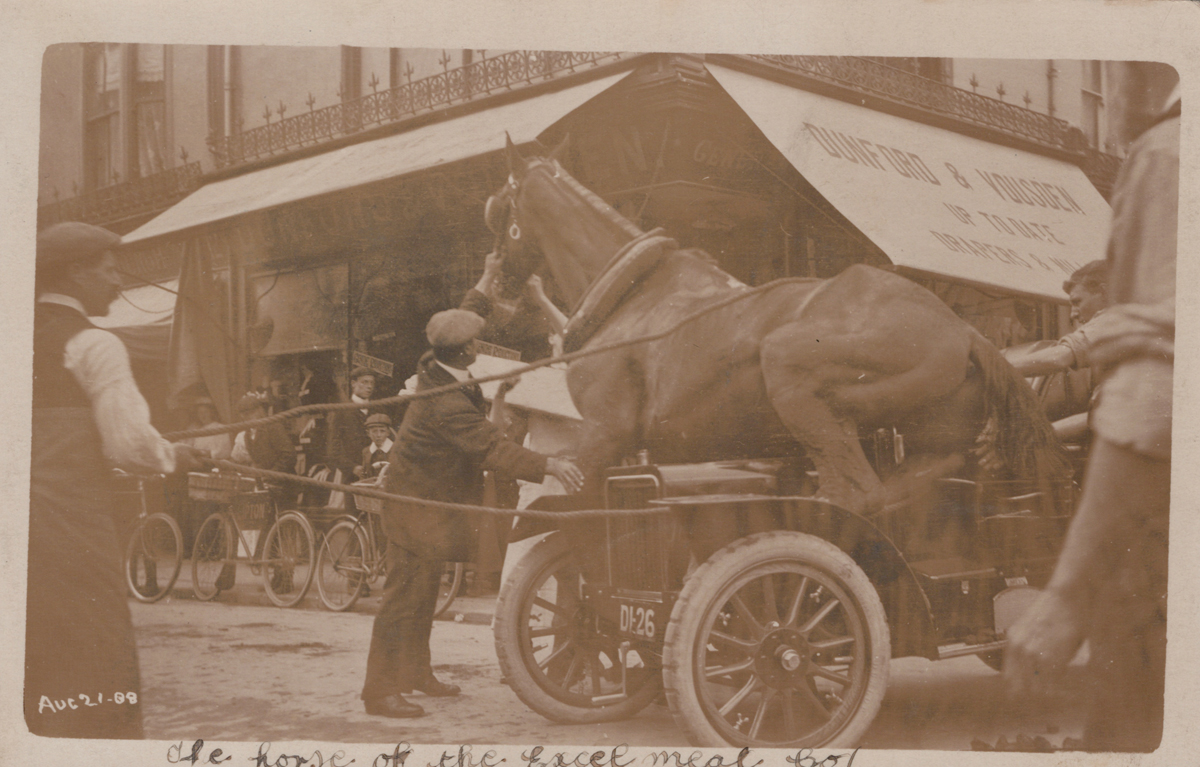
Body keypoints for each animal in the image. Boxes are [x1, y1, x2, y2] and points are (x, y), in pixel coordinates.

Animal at [487, 141, 1070, 518]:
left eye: (495, 210)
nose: (492, 284)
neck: (632, 292)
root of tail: (966, 334)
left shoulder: (604, 436)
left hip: (791, 370)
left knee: (856, 496)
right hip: (930, 446)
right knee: (901, 491)